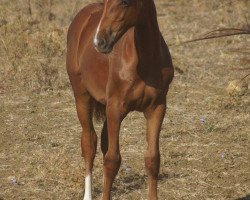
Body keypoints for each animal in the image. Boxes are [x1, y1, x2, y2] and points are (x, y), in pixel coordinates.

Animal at [67, 0, 174, 200]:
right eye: (106, 3)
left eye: (125, 3)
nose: (99, 42)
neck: (144, 61)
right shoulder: (116, 109)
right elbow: (112, 160)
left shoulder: (157, 108)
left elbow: (152, 159)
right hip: (82, 97)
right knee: (89, 142)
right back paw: (88, 195)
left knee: (102, 142)